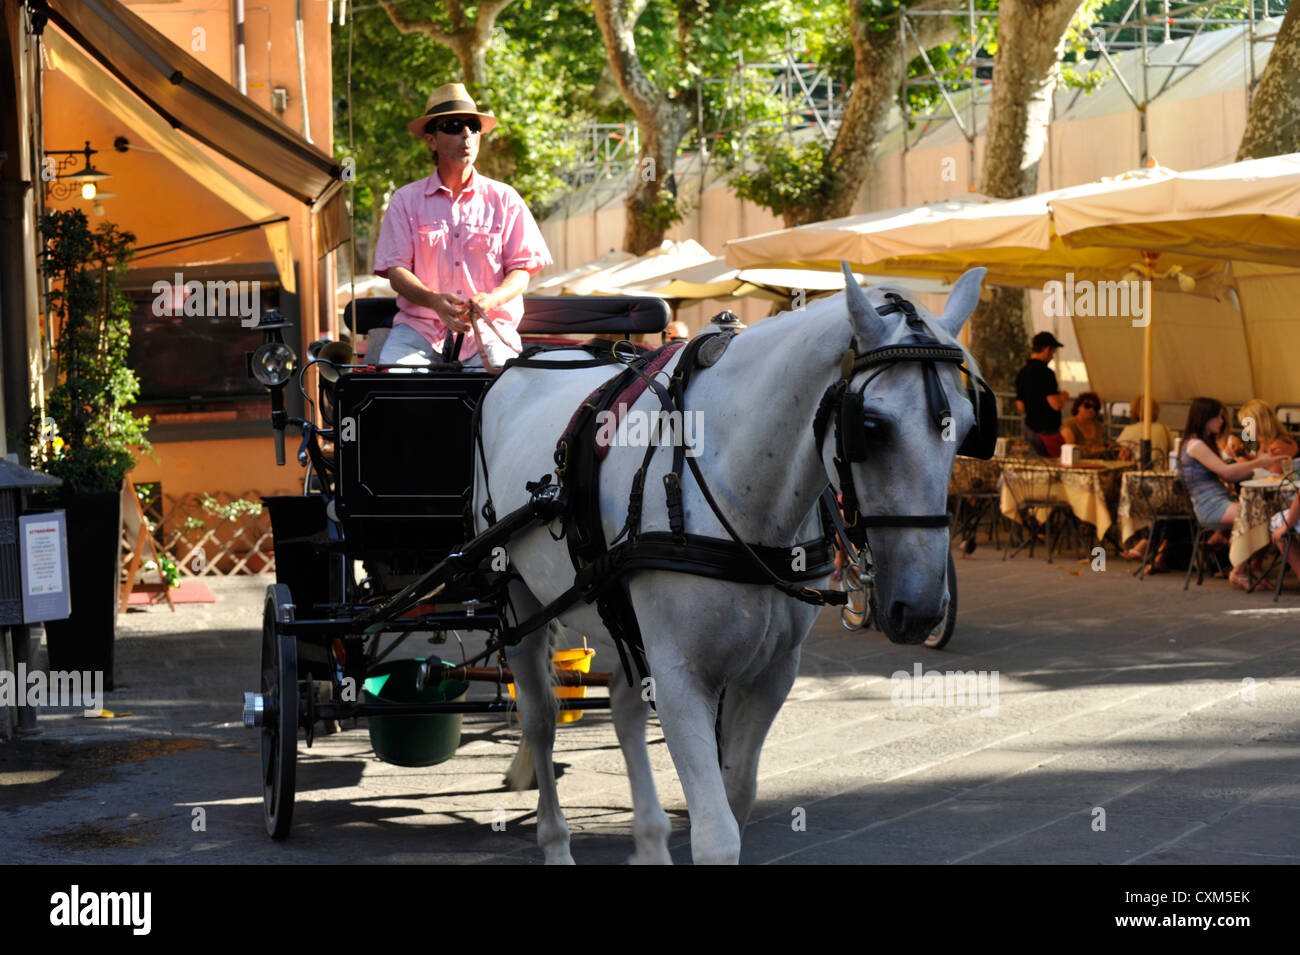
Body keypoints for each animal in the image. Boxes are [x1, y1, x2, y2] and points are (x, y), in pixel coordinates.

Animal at [474, 265, 988, 864]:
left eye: (970, 427)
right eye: (871, 427)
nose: (923, 609)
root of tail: (525, 361)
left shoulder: (771, 673)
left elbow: (738, 795)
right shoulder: (682, 676)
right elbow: (717, 833)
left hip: (615, 609)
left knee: (624, 711)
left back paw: (650, 841)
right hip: (516, 601)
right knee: (541, 719)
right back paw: (555, 840)